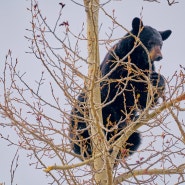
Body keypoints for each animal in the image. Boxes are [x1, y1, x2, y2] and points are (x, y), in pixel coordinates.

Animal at [69, 17, 172, 159]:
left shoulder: (144, 73)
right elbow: (108, 94)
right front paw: (119, 122)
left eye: (161, 44)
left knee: (135, 139)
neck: (135, 62)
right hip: (80, 115)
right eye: (150, 42)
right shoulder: (114, 66)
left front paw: (157, 80)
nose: (159, 56)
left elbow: (144, 100)